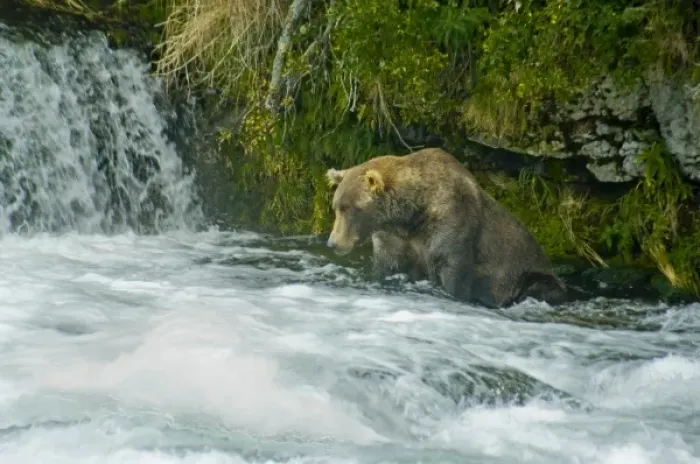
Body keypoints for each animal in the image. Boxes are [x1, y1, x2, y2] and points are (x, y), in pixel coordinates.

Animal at [325, 147, 568, 308]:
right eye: (336, 207)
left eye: (351, 209)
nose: (332, 243)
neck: (412, 214)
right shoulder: (393, 237)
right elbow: (388, 265)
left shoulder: (452, 218)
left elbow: (453, 268)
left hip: (528, 272)